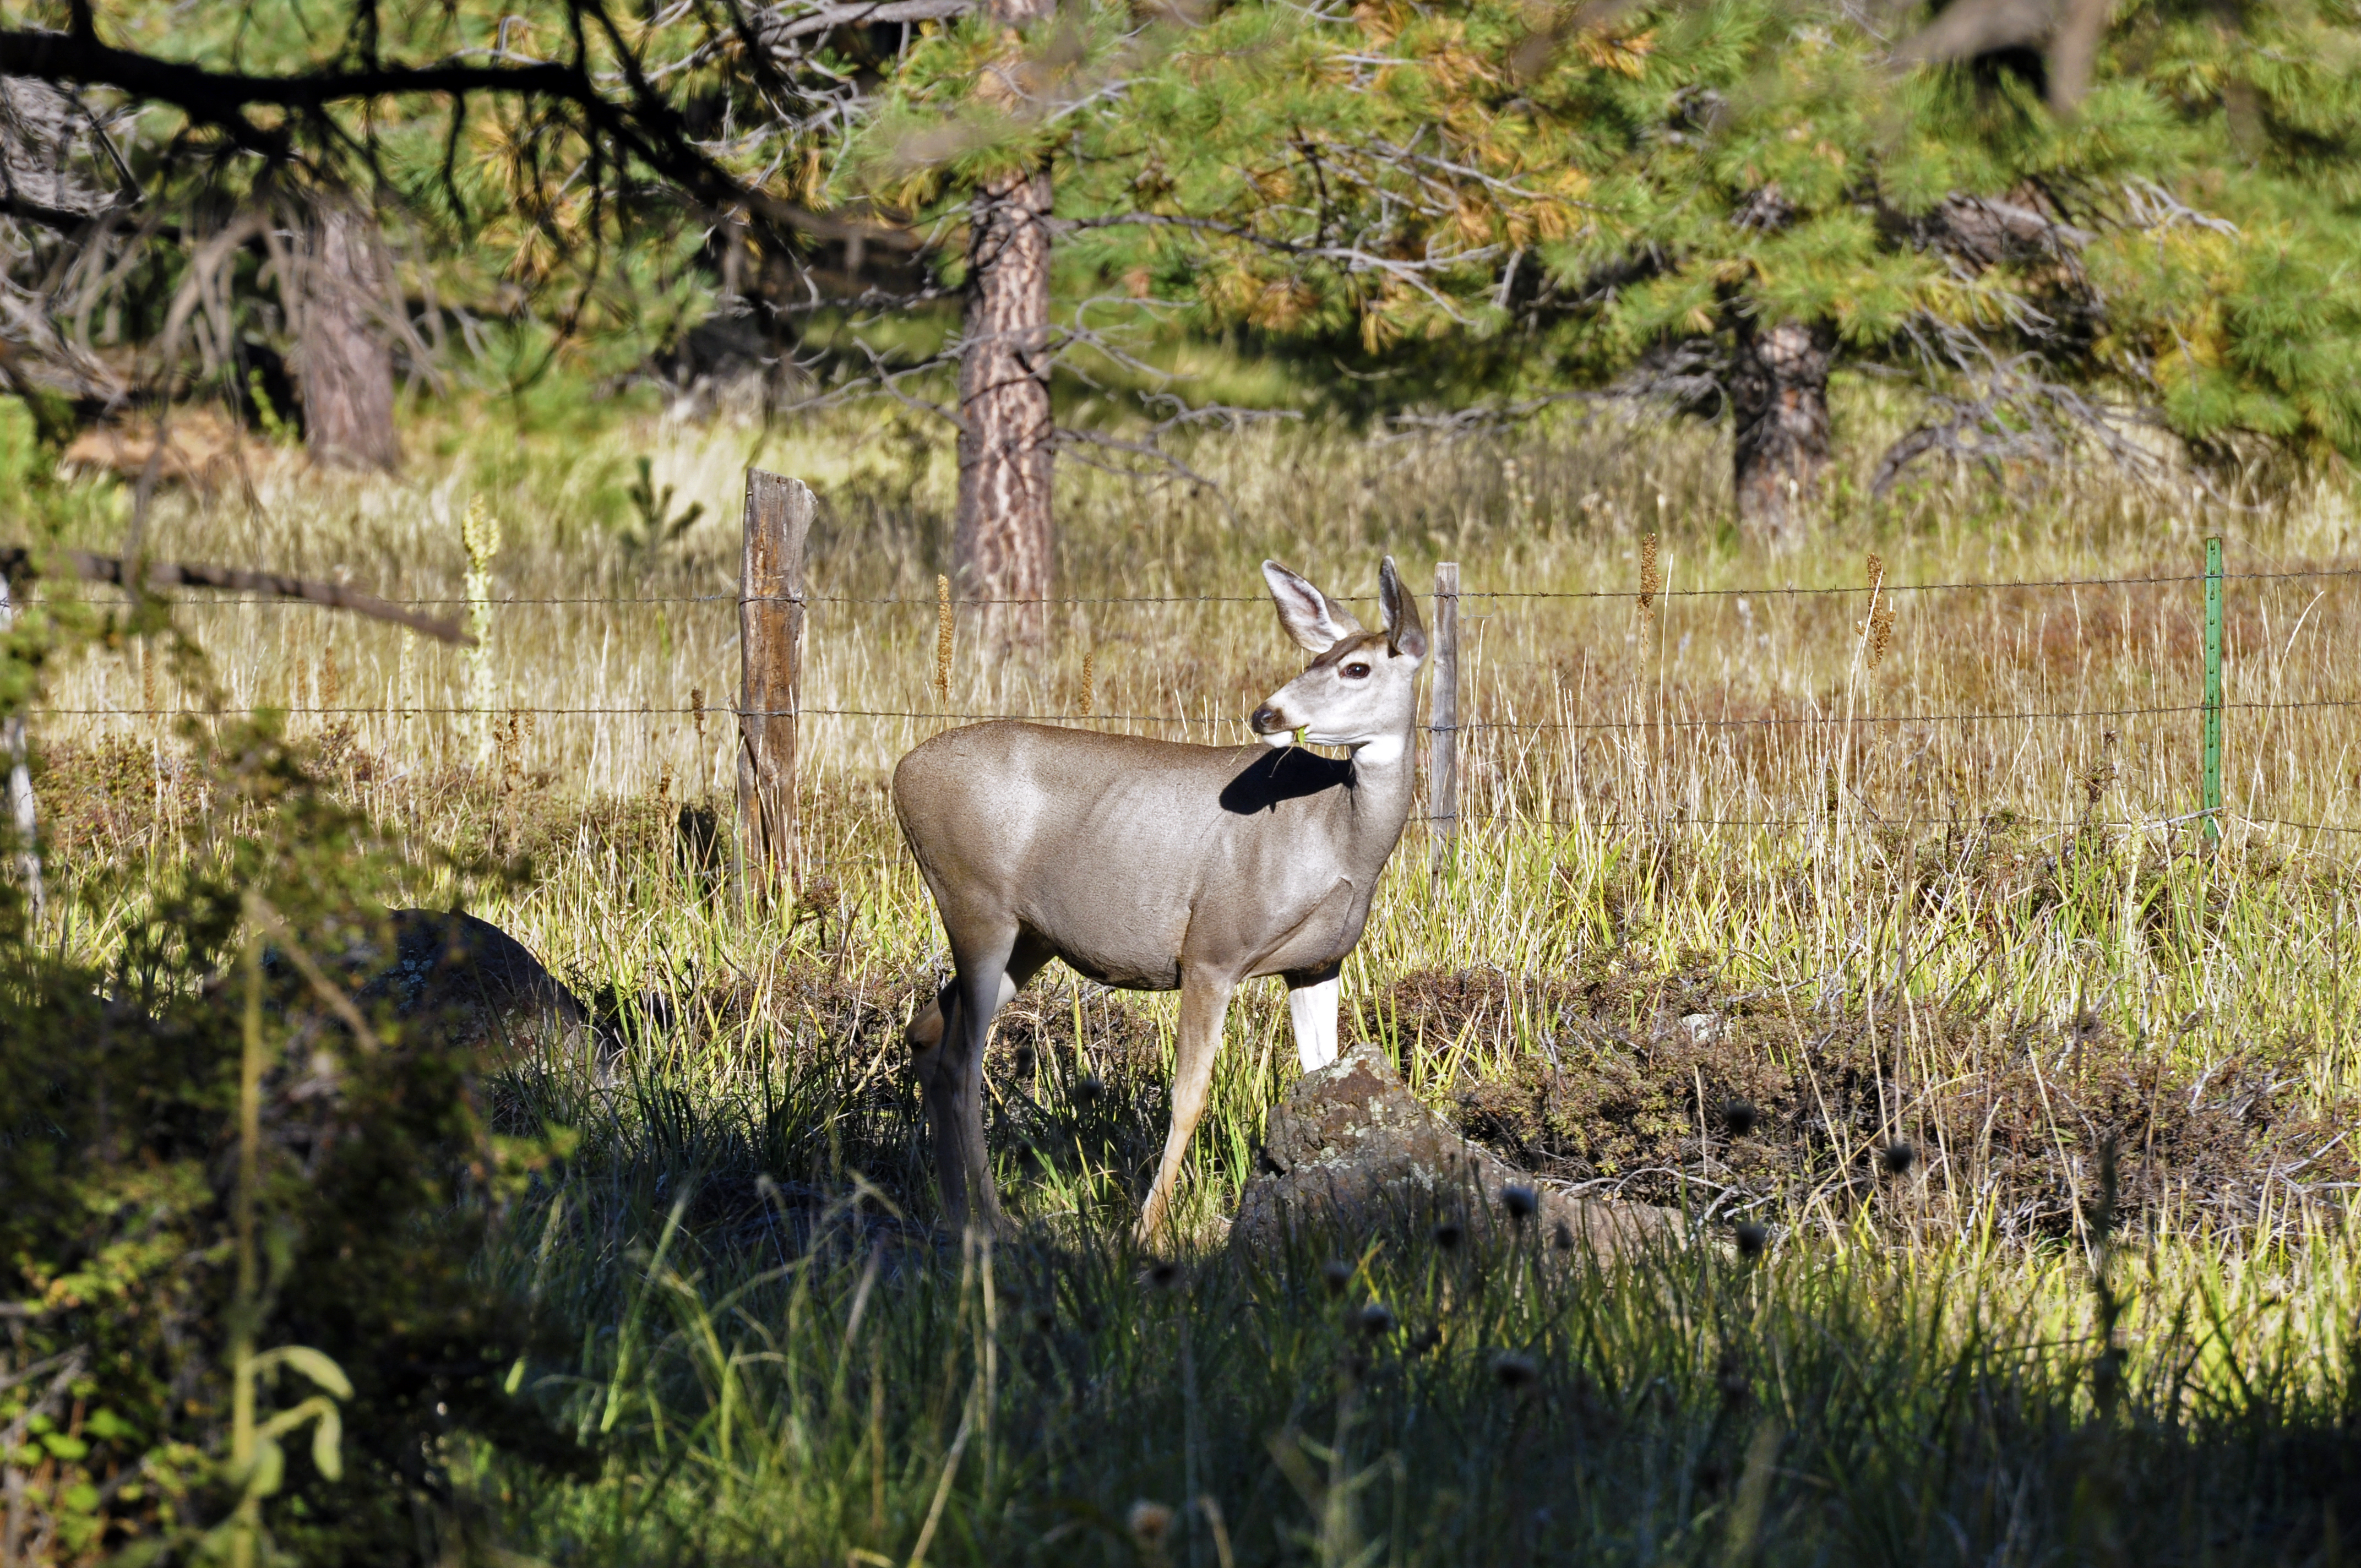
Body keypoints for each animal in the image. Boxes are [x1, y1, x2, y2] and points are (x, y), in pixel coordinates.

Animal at [892, 559, 1426, 1237]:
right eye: (1317, 658)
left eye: (1355, 667)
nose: (1267, 714)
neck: (1338, 838)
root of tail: (901, 774)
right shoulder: (1211, 950)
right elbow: (1188, 1097)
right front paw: (1148, 1229)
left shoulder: (1317, 962)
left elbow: (1321, 1078)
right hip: (974, 903)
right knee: (963, 1060)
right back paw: (993, 1222)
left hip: (1028, 937)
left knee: (927, 1034)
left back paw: (957, 1215)